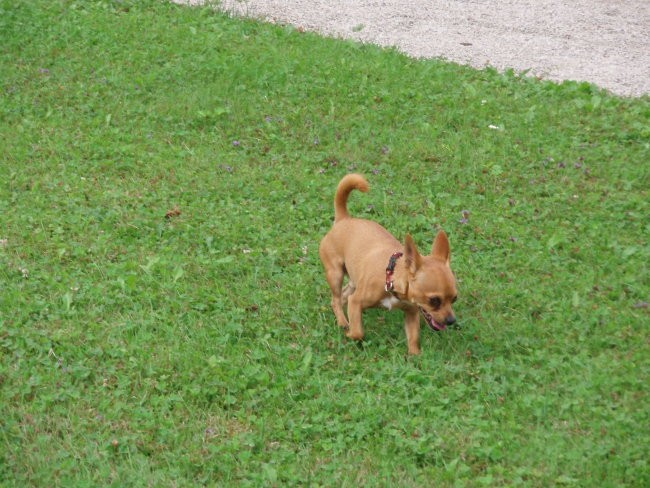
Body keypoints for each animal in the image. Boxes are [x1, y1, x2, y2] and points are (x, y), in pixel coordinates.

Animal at [318, 175, 456, 354]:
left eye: (454, 299)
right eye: (434, 300)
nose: (451, 320)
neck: (391, 277)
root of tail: (344, 219)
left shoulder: (412, 313)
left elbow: (413, 337)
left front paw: (415, 356)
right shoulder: (356, 302)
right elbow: (358, 332)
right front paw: (350, 334)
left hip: (353, 280)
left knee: (343, 295)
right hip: (335, 274)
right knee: (335, 299)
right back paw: (342, 321)